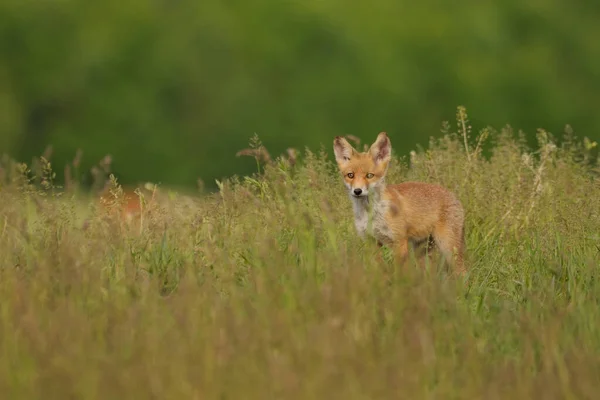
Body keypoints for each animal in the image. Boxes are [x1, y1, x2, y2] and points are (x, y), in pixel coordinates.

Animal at [336, 131, 466, 276]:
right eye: (350, 175)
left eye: (369, 175)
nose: (357, 191)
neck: (371, 214)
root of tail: (452, 194)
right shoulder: (371, 242)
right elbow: (379, 272)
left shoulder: (399, 242)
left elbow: (399, 274)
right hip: (421, 250)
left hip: (447, 246)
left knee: (463, 272)